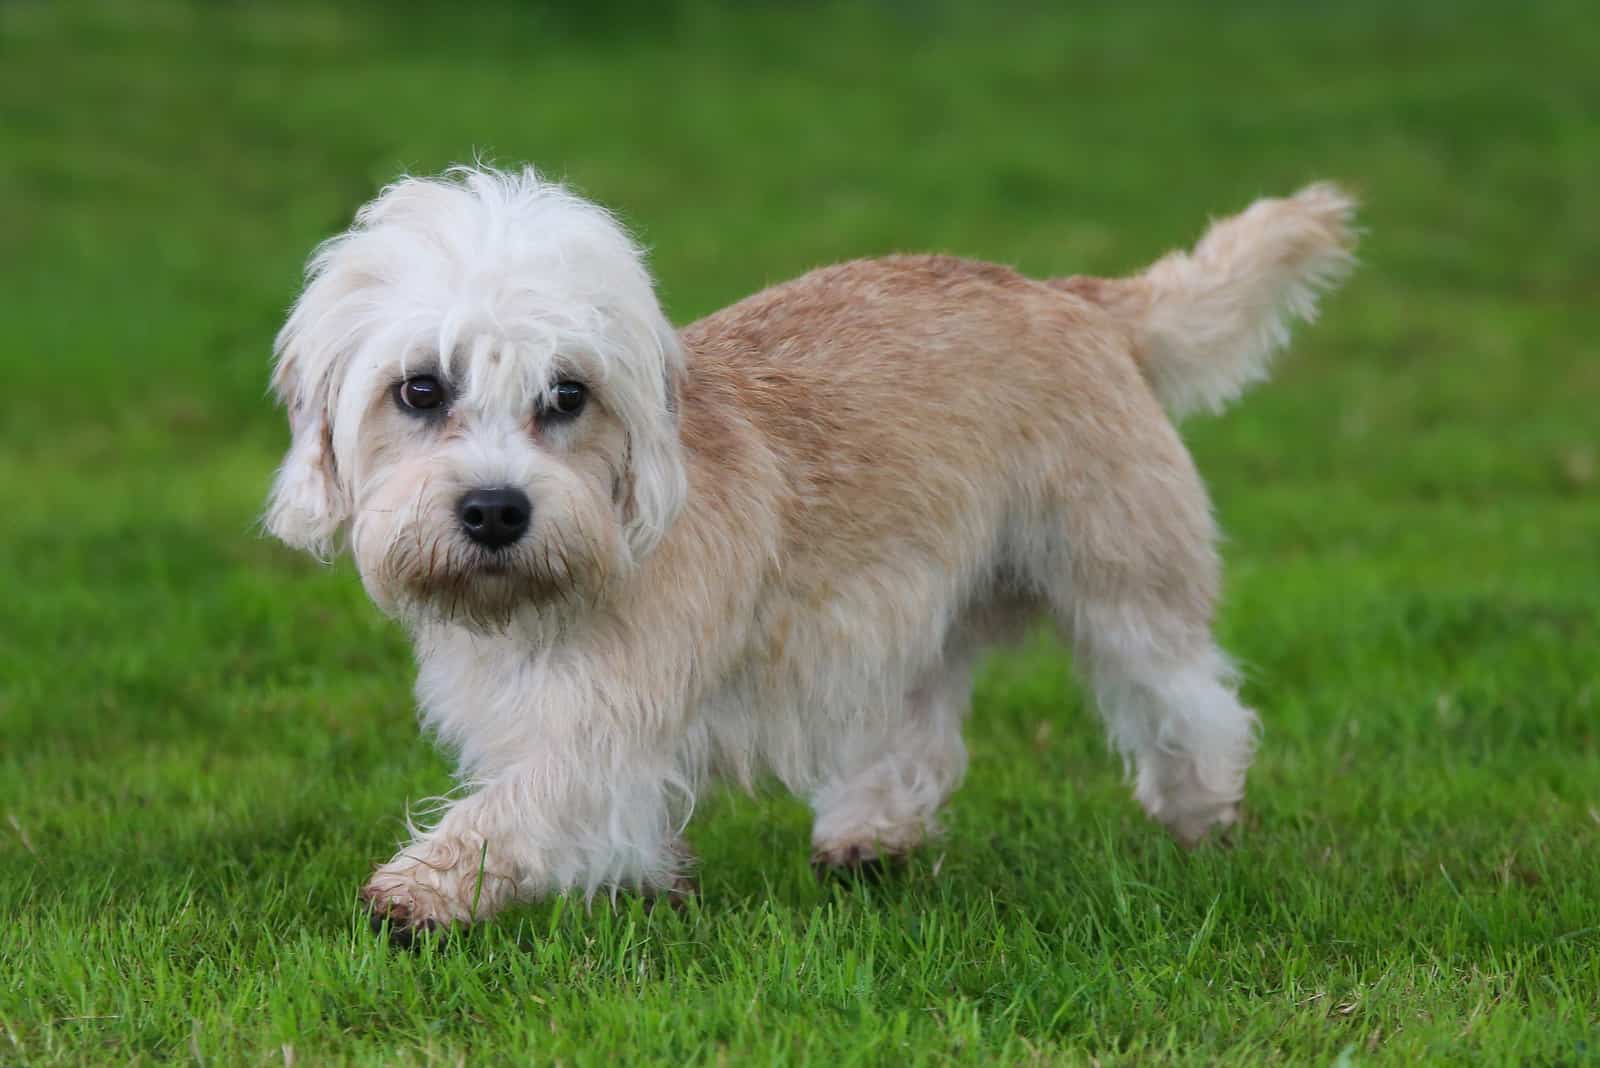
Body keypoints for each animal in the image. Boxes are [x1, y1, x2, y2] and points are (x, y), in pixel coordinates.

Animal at [262, 163, 1350, 940]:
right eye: (420, 389)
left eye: (567, 395)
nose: (495, 510)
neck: (576, 575)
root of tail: (1071, 294)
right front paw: (649, 889)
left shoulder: (602, 733)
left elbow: (517, 810)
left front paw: (418, 890)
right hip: (917, 609)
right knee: (922, 733)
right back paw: (871, 836)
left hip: (1123, 583)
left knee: (1192, 703)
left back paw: (1203, 822)